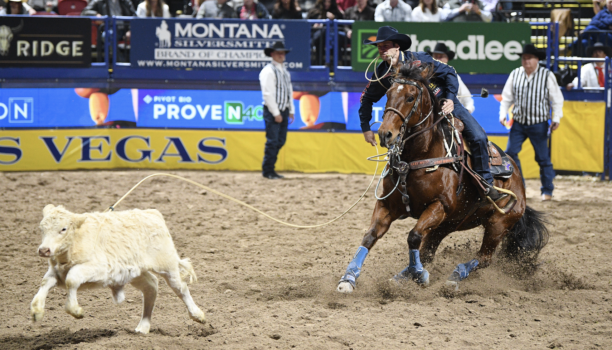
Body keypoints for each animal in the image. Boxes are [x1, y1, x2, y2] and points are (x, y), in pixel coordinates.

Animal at [30, 205, 206, 334]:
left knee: (181, 288)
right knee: (151, 287)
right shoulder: (57, 272)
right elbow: (45, 282)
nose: (44, 250)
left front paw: (75, 310)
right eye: (42, 228)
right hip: (135, 273)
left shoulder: (99, 269)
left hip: (167, 266)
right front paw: (36, 311)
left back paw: (198, 315)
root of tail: (152, 213)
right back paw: (143, 327)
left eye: (63, 229)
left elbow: (72, 279)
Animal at [338, 60, 548, 292]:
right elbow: (370, 236)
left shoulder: (439, 206)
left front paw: (419, 275)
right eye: (388, 94)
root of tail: (519, 180)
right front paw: (348, 278)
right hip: (448, 224)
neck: (418, 157)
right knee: (429, 253)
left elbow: (413, 236)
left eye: (410, 97)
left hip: (497, 224)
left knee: (483, 258)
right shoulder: (387, 205)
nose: (385, 134)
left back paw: (454, 276)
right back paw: (402, 277)